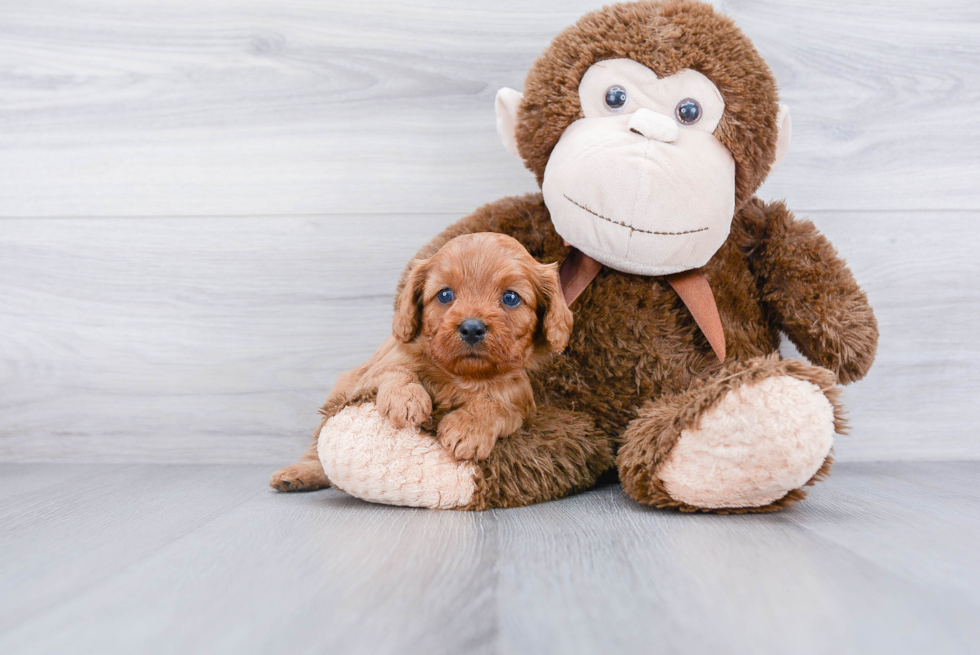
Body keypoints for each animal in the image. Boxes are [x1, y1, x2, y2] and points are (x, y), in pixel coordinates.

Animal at [330, 233, 576, 464]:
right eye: (445, 294)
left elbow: (498, 405)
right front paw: (406, 398)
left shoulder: (519, 401)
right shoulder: (369, 375)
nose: (472, 328)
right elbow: (394, 369)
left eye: (510, 297)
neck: (461, 376)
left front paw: (469, 428)